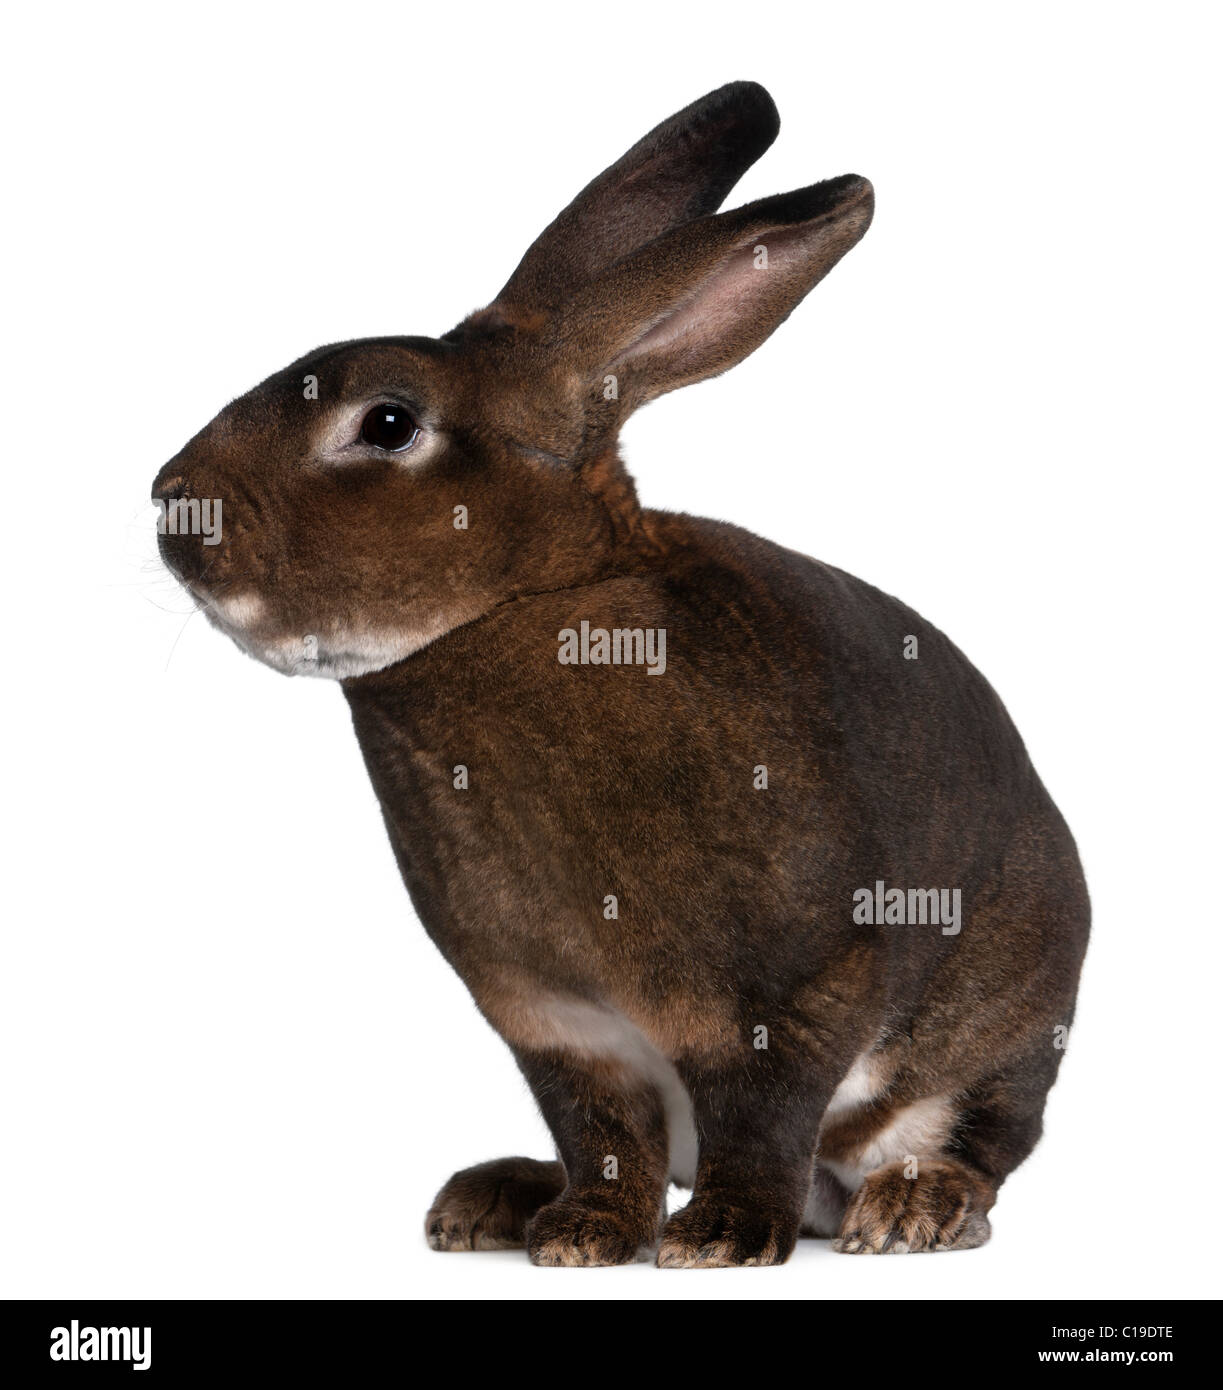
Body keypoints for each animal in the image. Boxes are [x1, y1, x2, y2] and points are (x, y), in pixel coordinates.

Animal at [152, 81, 1089, 1268]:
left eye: (388, 422)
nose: (173, 507)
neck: (531, 609)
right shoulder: (557, 1027)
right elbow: (599, 1133)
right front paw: (582, 1238)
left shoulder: (789, 1002)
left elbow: (760, 1118)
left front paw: (718, 1241)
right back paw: (494, 1199)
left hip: (993, 1032)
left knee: (965, 1142)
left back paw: (910, 1209)